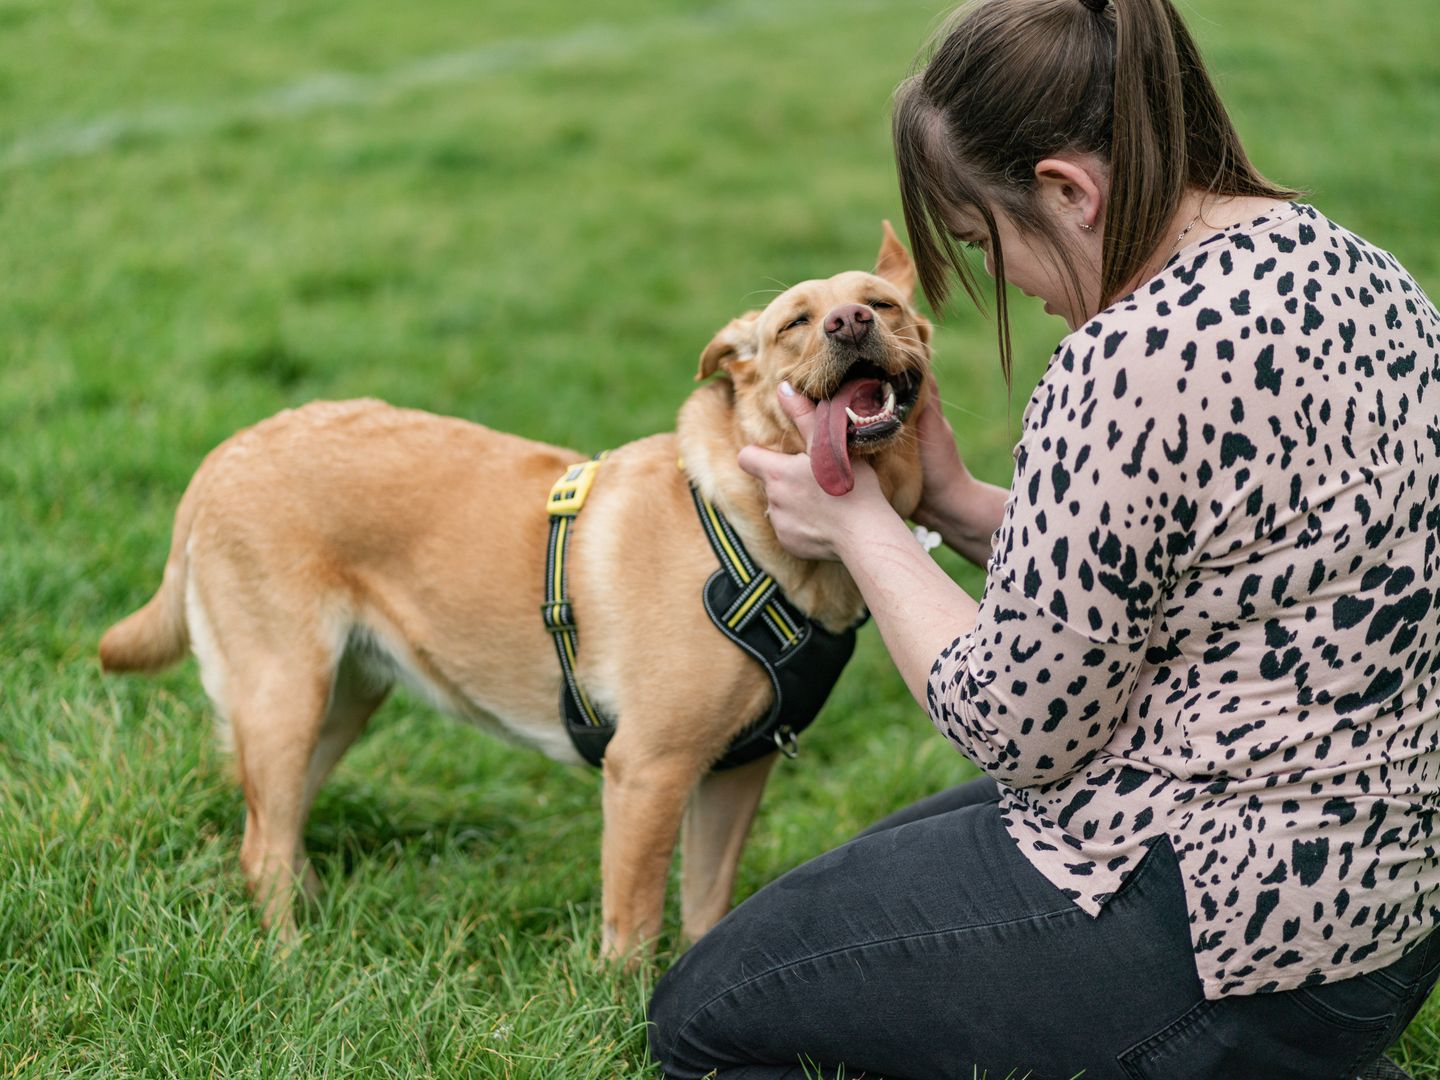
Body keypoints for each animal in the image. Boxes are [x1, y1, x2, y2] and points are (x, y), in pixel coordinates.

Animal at [101, 221, 933, 961]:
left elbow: (705, 915)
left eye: (883, 304)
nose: (851, 321)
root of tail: (223, 455)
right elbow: (631, 933)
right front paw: (622, 1015)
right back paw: (292, 962)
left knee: (279, 831)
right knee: (262, 852)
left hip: (343, 698)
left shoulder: (733, 774)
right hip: (284, 693)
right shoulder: (648, 772)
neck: (751, 529)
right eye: (795, 322)